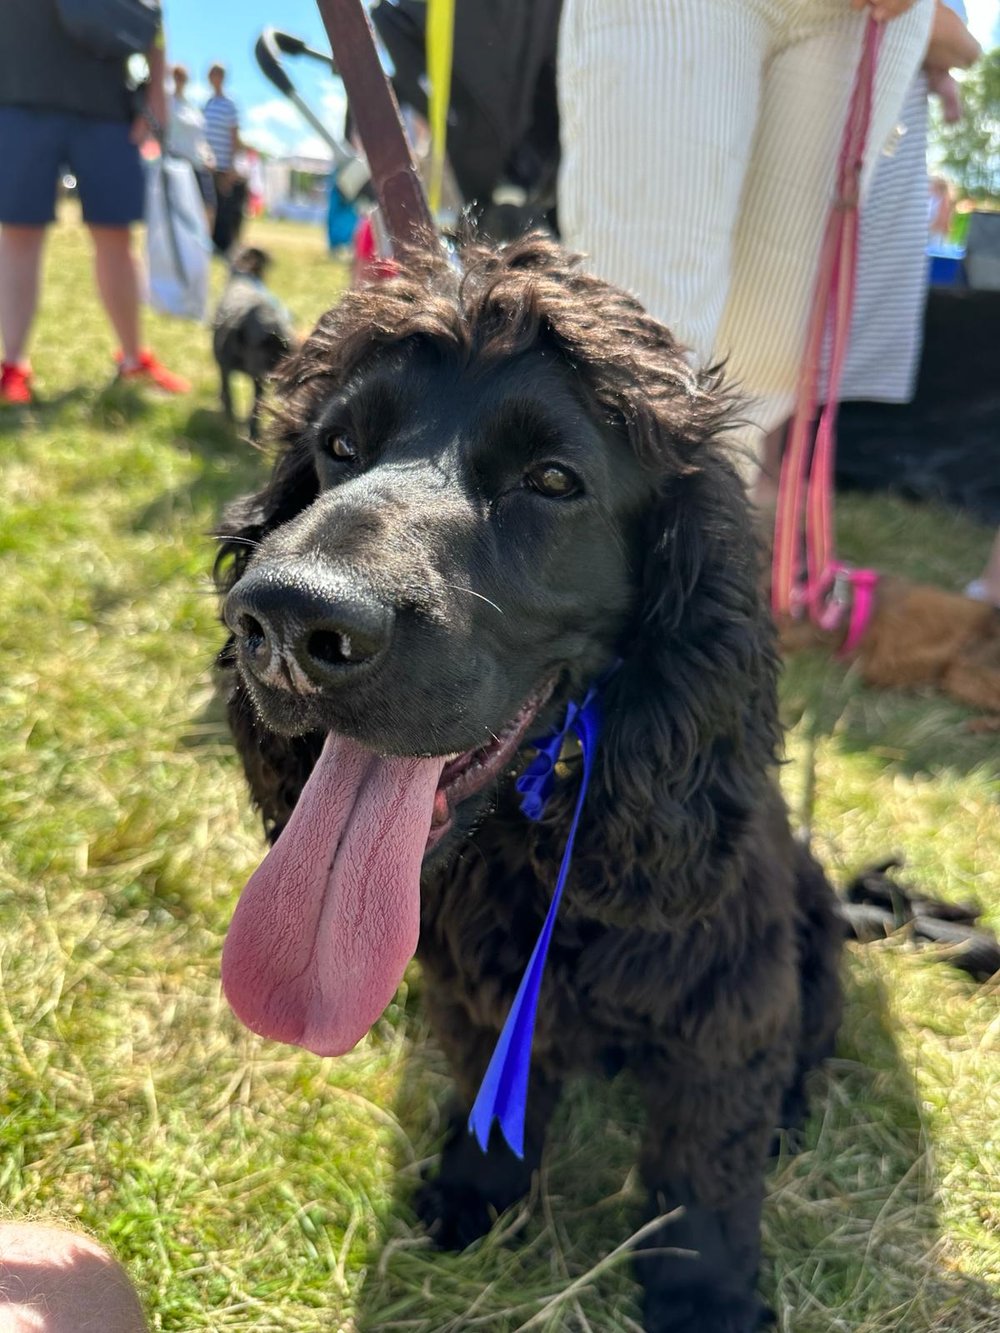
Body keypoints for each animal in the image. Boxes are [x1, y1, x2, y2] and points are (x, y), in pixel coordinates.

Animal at [213, 245, 296, 442]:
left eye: (287, 349)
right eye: (261, 345)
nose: (278, 375)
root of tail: (243, 274)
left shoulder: (259, 382)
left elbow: (256, 405)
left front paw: (254, 432)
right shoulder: (226, 368)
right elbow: (228, 394)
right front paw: (230, 422)